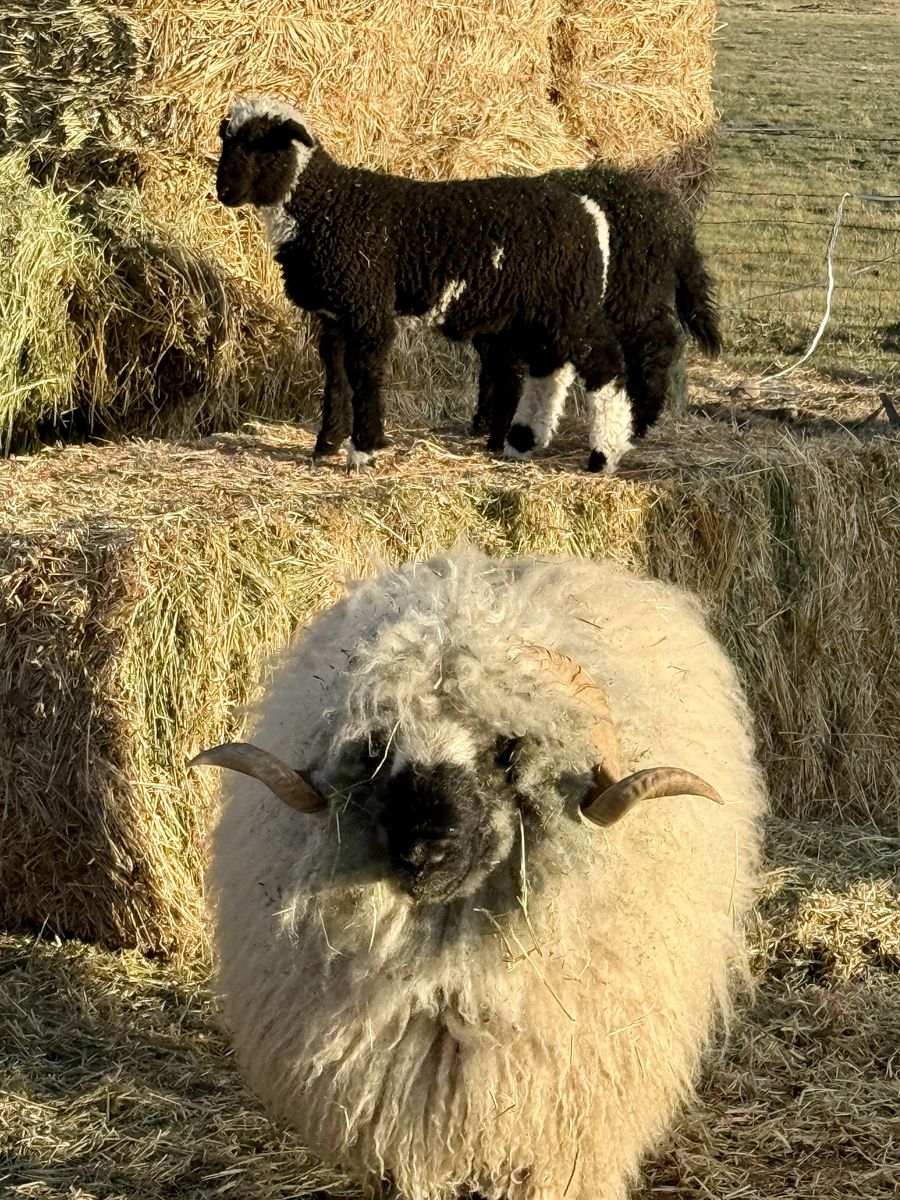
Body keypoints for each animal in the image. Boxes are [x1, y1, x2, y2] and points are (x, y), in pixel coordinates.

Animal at [215, 98, 623, 469]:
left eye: (263, 145)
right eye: (227, 142)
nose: (224, 192)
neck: (327, 205)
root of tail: (588, 211)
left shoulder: (367, 307)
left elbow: (364, 373)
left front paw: (363, 449)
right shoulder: (334, 316)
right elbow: (336, 377)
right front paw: (326, 446)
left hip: (567, 303)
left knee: (603, 363)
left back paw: (602, 454)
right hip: (532, 310)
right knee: (542, 368)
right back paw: (516, 443)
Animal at [469, 165, 722, 472]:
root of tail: (670, 223)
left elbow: (506, 374)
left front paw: (497, 435)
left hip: (631, 295)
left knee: (658, 345)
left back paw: (639, 421)